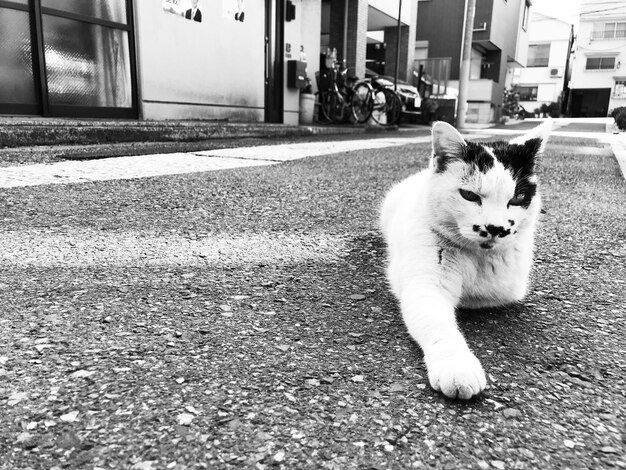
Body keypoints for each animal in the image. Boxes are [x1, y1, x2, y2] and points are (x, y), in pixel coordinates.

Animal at [378, 120, 548, 400]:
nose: (495, 228)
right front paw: (457, 365)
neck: (475, 257)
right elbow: (439, 324)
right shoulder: (426, 287)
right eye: (469, 195)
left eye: (518, 198)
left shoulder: (509, 287)